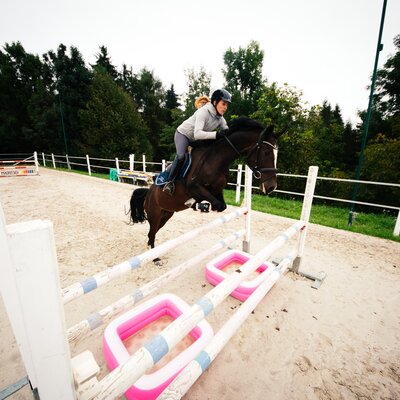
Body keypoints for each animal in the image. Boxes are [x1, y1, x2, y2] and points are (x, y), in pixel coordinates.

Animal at [129, 115, 282, 255]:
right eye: (266, 152)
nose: (271, 187)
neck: (218, 158)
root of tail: (148, 193)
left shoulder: (216, 190)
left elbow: (221, 205)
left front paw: (201, 205)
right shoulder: (194, 187)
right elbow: (215, 203)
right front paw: (199, 205)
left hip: (166, 214)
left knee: (153, 233)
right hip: (154, 214)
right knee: (151, 233)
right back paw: (154, 257)